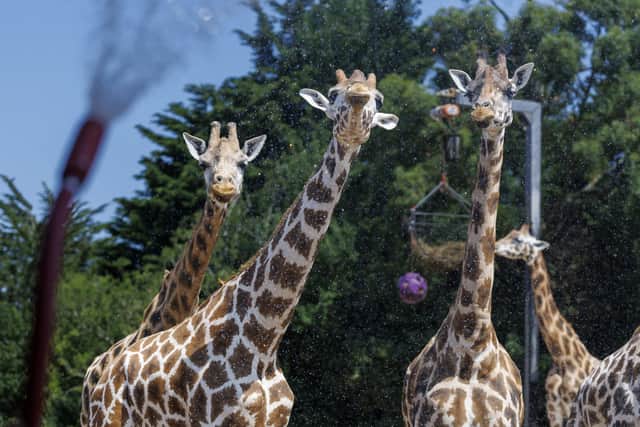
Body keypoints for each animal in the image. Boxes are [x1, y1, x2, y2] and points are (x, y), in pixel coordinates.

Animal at [495, 224, 601, 427]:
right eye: (510, 234)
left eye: (518, 240)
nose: (495, 245)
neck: (562, 357)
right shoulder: (554, 411)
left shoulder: (573, 408)